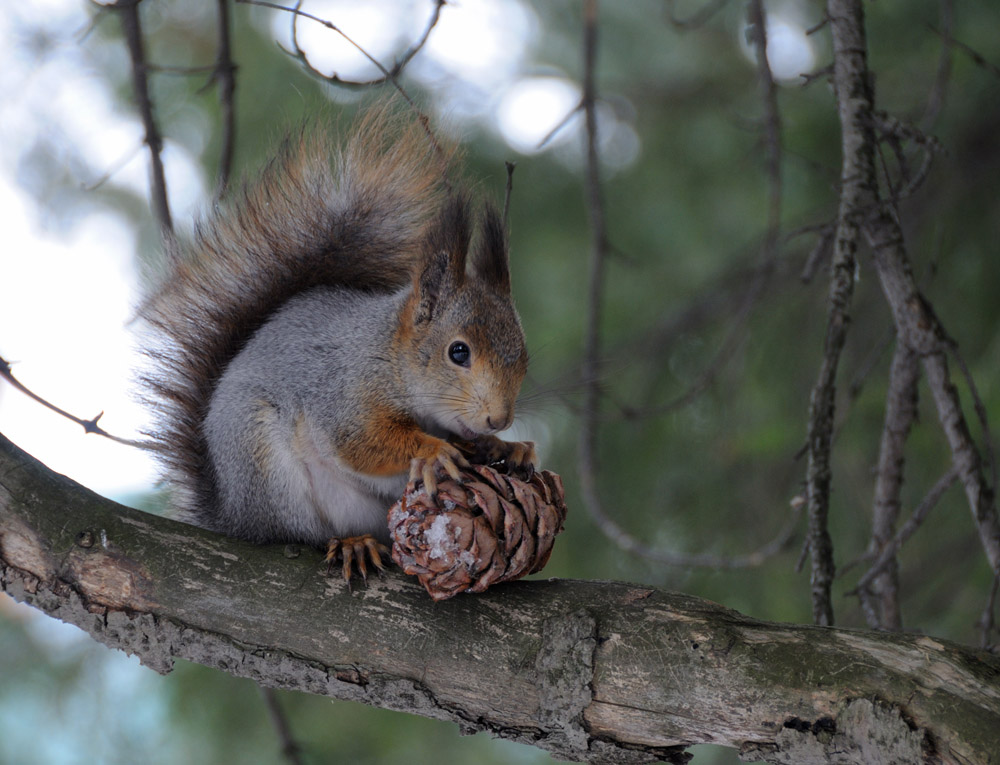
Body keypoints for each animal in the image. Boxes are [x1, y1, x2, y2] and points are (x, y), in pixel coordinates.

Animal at [140, 104, 536, 576]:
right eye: (458, 352)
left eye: (525, 356)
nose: (499, 419)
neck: (389, 355)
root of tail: (232, 516)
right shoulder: (345, 390)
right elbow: (359, 443)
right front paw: (434, 450)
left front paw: (508, 448)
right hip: (263, 462)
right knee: (297, 534)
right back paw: (349, 543)